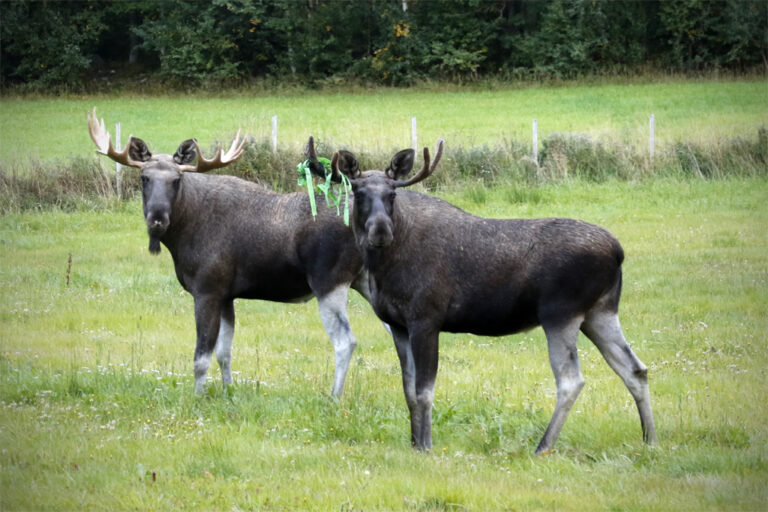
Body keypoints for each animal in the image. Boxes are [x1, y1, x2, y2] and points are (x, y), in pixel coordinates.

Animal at [87, 108, 375, 396]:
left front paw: (198, 397)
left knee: (346, 342)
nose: (157, 218)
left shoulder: (207, 290)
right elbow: (224, 353)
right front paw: (228, 391)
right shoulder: (227, 296)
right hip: (365, 281)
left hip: (329, 282)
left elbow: (201, 357)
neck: (183, 234)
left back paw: (334, 397)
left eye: (176, 180)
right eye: (144, 178)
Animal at [330, 140, 657, 454]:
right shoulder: (397, 324)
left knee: (571, 380)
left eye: (392, 194)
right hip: (600, 312)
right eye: (358, 193)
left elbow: (424, 392)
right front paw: (413, 442)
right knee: (635, 369)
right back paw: (650, 440)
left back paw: (543, 446)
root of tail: (618, 252)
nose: (381, 230)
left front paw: (425, 446)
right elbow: (408, 391)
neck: (383, 268)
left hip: (561, 313)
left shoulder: (426, 318)